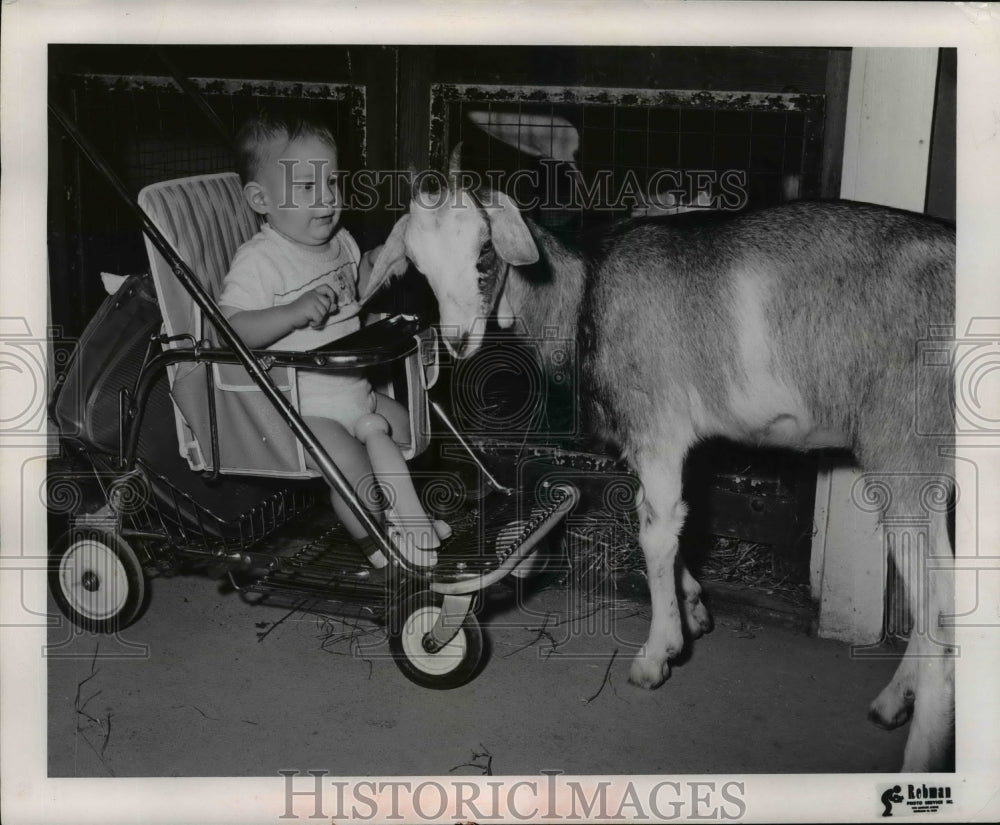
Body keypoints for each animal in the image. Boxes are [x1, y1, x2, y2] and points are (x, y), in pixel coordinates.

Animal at [370, 167, 960, 772]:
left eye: (485, 250)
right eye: (417, 267)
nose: (458, 340)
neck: (585, 291)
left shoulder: (656, 426)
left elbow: (654, 534)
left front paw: (658, 654)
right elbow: (673, 524)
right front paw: (693, 608)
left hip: (903, 446)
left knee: (941, 608)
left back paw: (920, 752)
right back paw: (895, 701)